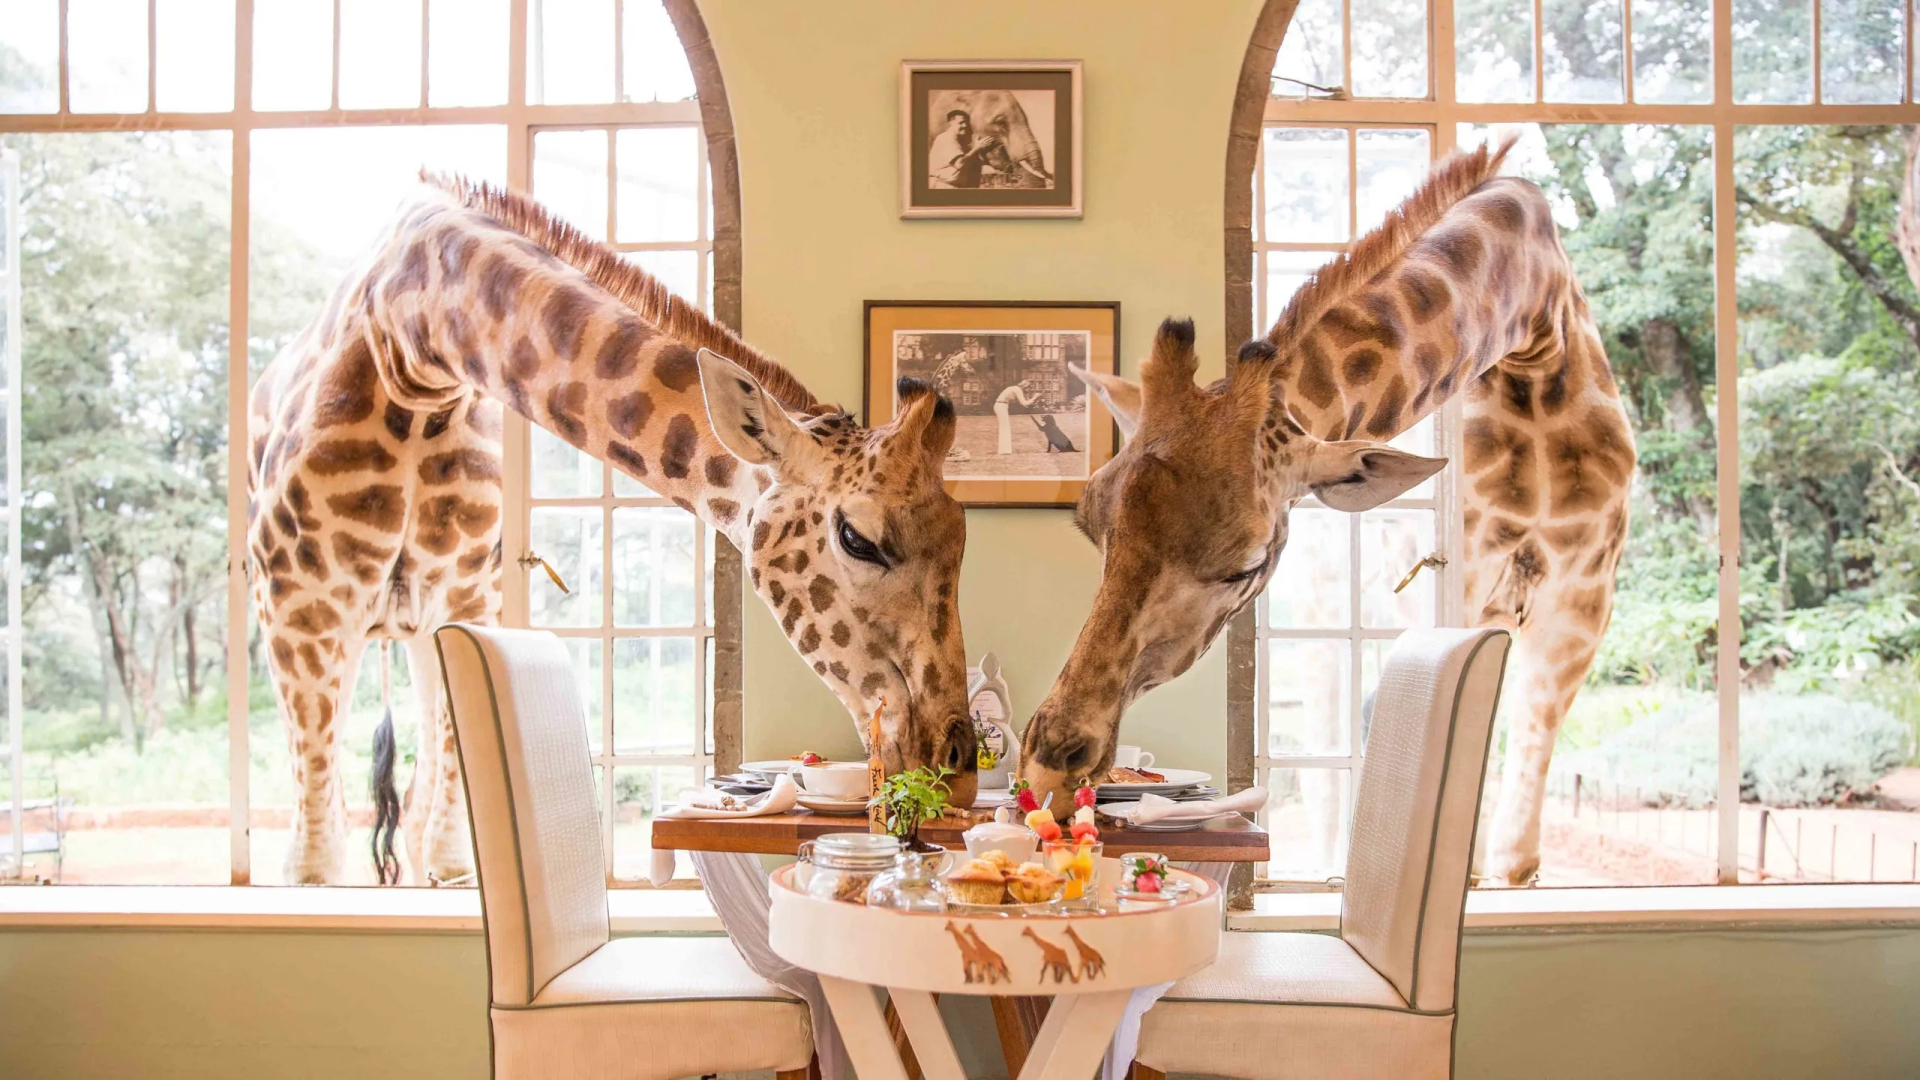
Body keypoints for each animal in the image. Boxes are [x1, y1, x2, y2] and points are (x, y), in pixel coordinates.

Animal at [249, 175, 978, 886]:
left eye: (961, 541)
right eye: (858, 539)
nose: (960, 769)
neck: (413, 345)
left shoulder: (464, 603)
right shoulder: (300, 614)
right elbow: (314, 869)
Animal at [1017, 138, 1637, 886]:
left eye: (1247, 563)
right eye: (1091, 527)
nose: (1048, 769)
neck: (1534, 333)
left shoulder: (1578, 606)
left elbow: (1514, 847)